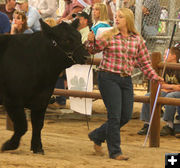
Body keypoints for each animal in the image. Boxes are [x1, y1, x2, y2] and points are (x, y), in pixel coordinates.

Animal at [0, 19, 88, 154]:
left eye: (79, 36)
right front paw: (9, 145)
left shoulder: (42, 100)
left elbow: (38, 124)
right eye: (67, 40)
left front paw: (37, 147)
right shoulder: (12, 100)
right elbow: (22, 126)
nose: (86, 56)